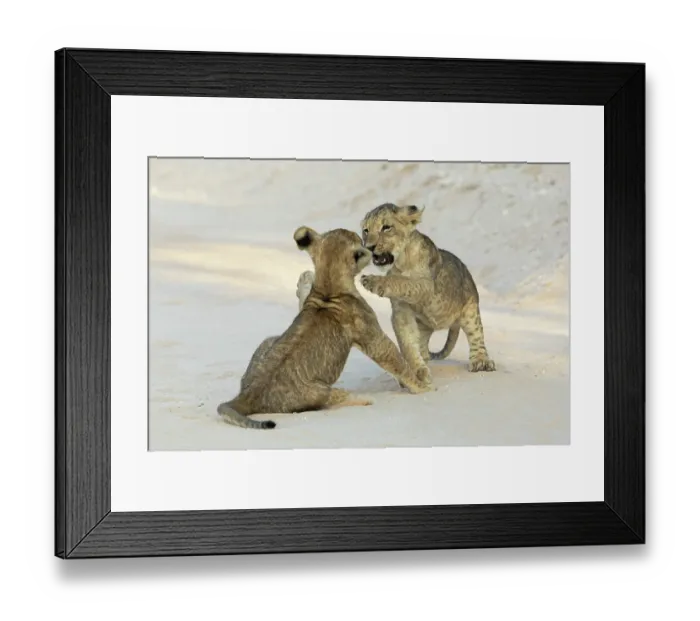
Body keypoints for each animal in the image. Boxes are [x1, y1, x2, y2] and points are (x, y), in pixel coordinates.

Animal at [217, 226, 432, 430]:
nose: (368, 244)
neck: (328, 287)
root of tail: (247, 394)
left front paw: (304, 281)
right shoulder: (371, 334)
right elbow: (395, 359)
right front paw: (423, 387)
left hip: (268, 340)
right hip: (319, 391)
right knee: (337, 399)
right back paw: (365, 398)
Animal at [359, 203, 496, 386]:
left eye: (386, 227)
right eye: (366, 230)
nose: (369, 247)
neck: (401, 262)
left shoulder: (426, 286)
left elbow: (401, 282)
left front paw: (372, 281)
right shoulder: (402, 312)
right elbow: (407, 343)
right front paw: (417, 372)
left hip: (470, 309)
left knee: (476, 335)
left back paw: (481, 361)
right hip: (423, 325)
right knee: (422, 346)